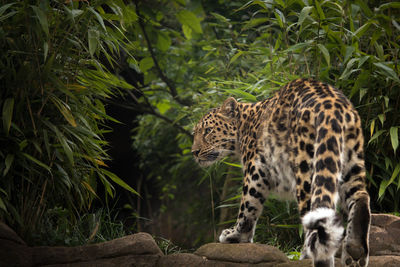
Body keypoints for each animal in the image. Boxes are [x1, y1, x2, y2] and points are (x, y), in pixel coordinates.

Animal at [192, 78, 370, 266]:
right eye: (195, 133)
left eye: (208, 131)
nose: (194, 152)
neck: (243, 128)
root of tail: (332, 106)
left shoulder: (255, 171)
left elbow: (247, 207)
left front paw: (235, 235)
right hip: (351, 162)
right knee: (360, 197)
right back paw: (355, 252)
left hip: (306, 171)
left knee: (315, 209)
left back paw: (310, 255)